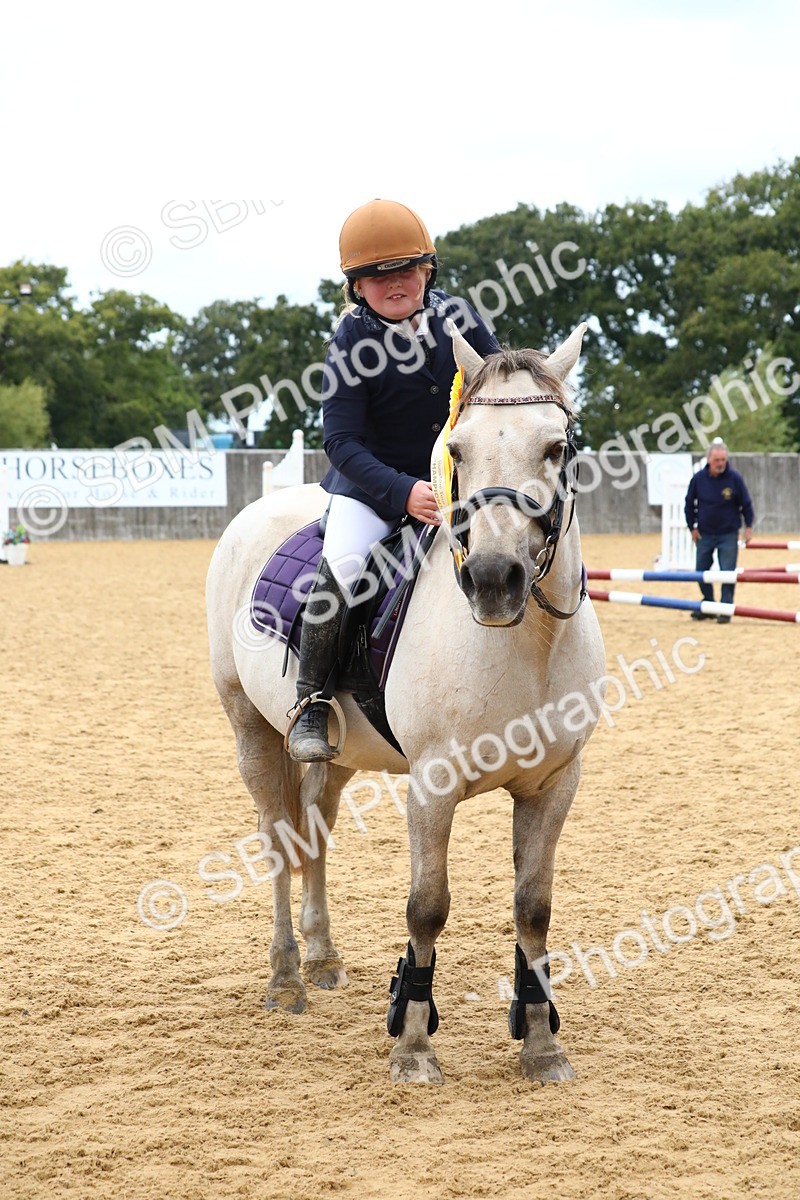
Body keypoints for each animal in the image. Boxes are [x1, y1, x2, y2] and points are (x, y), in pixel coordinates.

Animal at [205, 323, 606, 1085]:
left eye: (555, 446)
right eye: (458, 450)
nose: (494, 580)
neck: (525, 643)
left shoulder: (556, 783)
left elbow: (534, 907)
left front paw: (542, 1045)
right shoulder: (433, 785)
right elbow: (427, 908)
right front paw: (414, 1045)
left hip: (338, 755)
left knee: (314, 830)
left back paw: (323, 958)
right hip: (249, 730)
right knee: (278, 839)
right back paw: (287, 979)